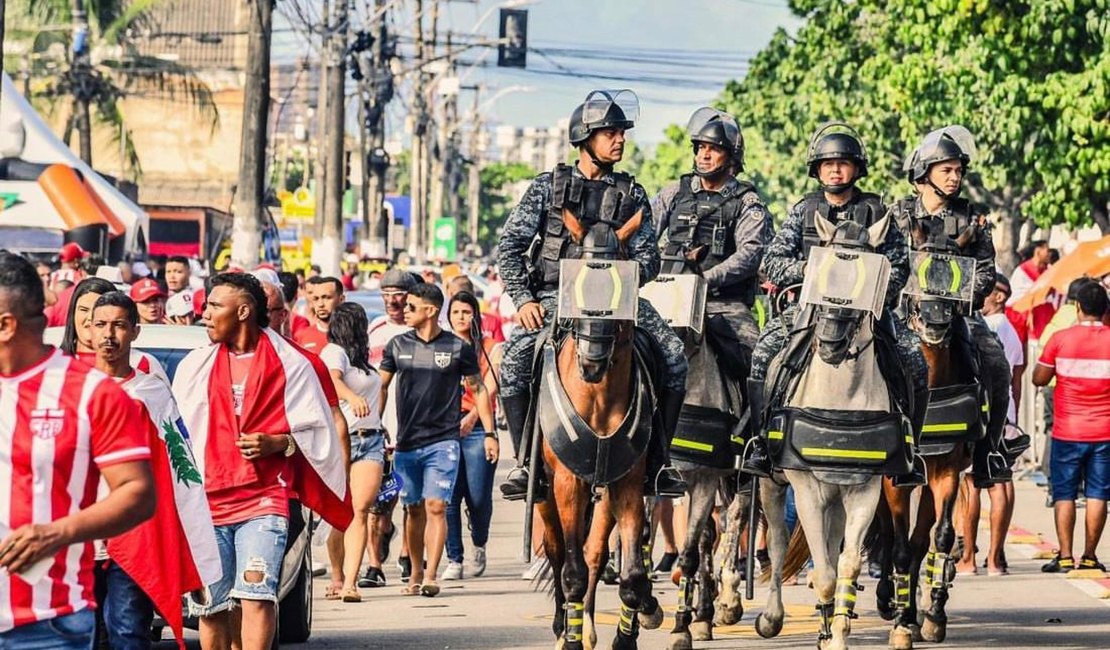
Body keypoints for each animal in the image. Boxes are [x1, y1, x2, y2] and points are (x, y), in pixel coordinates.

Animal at [532, 208, 661, 647]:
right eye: (572, 283)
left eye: (623, 287)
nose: (591, 362)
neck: (599, 397)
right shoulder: (567, 482)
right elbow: (569, 571)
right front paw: (569, 637)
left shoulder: (628, 483)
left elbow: (632, 577)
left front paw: (625, 636)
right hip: (546, 493)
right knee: (558, 552)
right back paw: (562, 626)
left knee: (593, 553)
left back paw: (586, 625)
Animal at [745, 212, 910, 647]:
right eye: (822, 276)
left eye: (869, 282)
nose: (830, 343)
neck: (841, 397)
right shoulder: (807, 490)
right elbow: (822, 571)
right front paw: (823, 625)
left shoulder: (864, 488)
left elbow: (846, 565)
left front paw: (837, 632)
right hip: (773, 485)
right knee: (777, 542)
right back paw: (771, 616)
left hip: (838, 495)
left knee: (834, 548)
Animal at [870, 225, 985, 643]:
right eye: (914, 271)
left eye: (959, 277)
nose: (936, 324)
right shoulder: (893, 479)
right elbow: (898, 544)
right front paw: (901, 620)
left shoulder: (946, 472)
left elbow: (941, 537)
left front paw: (933, 614)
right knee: (889, 535)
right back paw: (889, 601)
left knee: (921, 539)